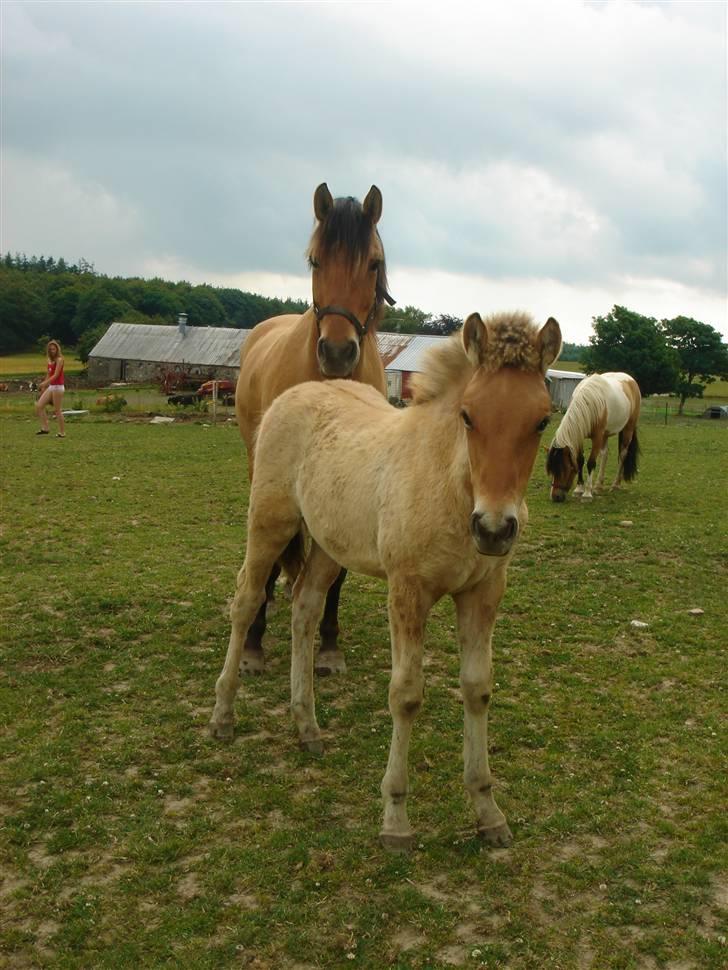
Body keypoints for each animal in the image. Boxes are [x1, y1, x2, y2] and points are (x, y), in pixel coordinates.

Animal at [210, 312, 564, 848]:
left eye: (541, 420)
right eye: (468, 416)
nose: (493, 528)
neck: (447, 483)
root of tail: (295, 394)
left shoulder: (483, 592)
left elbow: (478, 688)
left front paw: (488, 811)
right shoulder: (407, 591)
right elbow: (406, 695)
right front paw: (395, 819)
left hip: (329, 545)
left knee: (305, 608)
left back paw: (306, 726)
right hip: (270, 522)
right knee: (247, 600)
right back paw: (223, 715)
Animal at [236, 185, 396, 676]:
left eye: (373, 263)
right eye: (315, 260)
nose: (338, 352)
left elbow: (336, 569)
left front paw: (328, 645)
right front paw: (253, 644)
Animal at [544, 372, 644, 502]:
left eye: (565, 468)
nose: (555, 497)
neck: (588, 403)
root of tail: (630, 379)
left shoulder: (597, 438)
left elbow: (591, 463)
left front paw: (587, 493)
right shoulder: (580, 436)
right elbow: (580, 460)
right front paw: (579, 489)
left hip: (628, 429)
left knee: (623, 455)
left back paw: (615, 485)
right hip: (606, 434)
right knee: (605, 454)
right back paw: (598, 486)